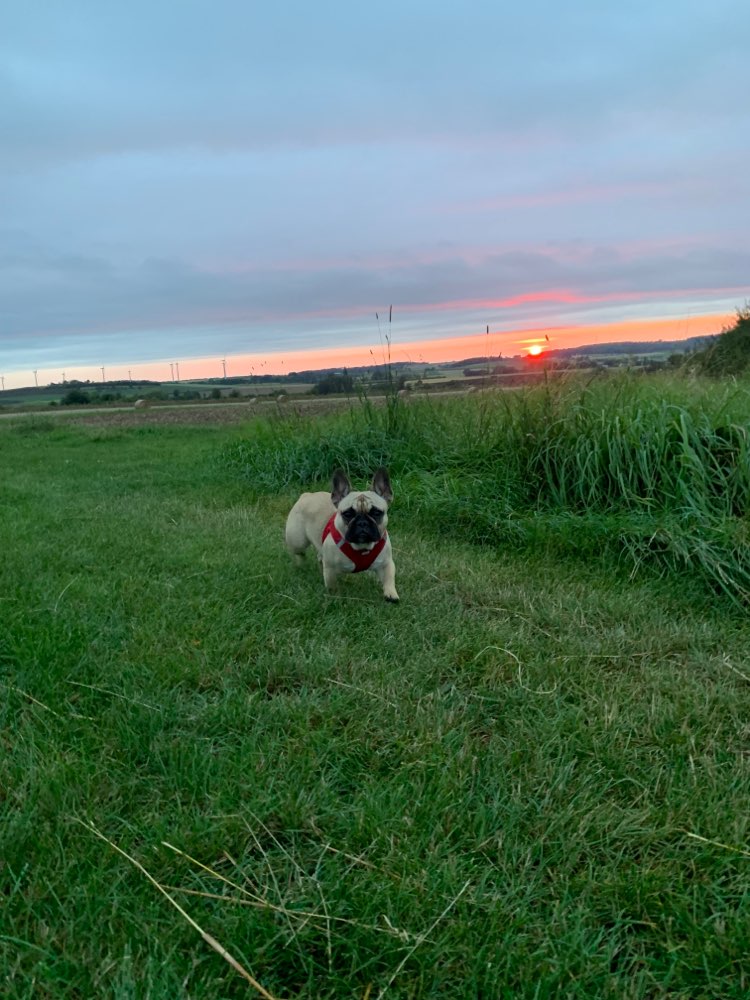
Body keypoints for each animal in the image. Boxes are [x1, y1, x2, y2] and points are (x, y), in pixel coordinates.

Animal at [284, 468, 400, 600]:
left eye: (376, 513)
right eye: (348, 514)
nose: (362, 522)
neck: (362, 547)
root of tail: (307, 495)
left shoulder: (386, 564)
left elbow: (388, 579)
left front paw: (391, 594)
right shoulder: (330, 569)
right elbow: (332, 585)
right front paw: (335, 597)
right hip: (298, 541)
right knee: (300, 553)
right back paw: (302, 566)